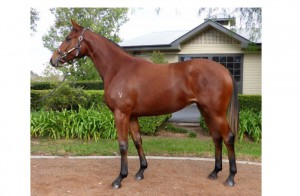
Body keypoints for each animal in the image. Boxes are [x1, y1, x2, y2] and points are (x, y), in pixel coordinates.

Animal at [50, 19, 240, 188]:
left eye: (68, 38)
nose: (53, 59)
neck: (118, 69)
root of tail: (224, 70)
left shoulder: (121, 114)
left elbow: (123, 144)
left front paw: (120, 178)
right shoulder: (132, 116)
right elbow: (137, 141)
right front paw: (141, 171)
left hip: (216, 112)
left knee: (228, 137)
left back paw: (231, 177)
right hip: (206, 111)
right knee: (216, 137)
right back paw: (214, 172)